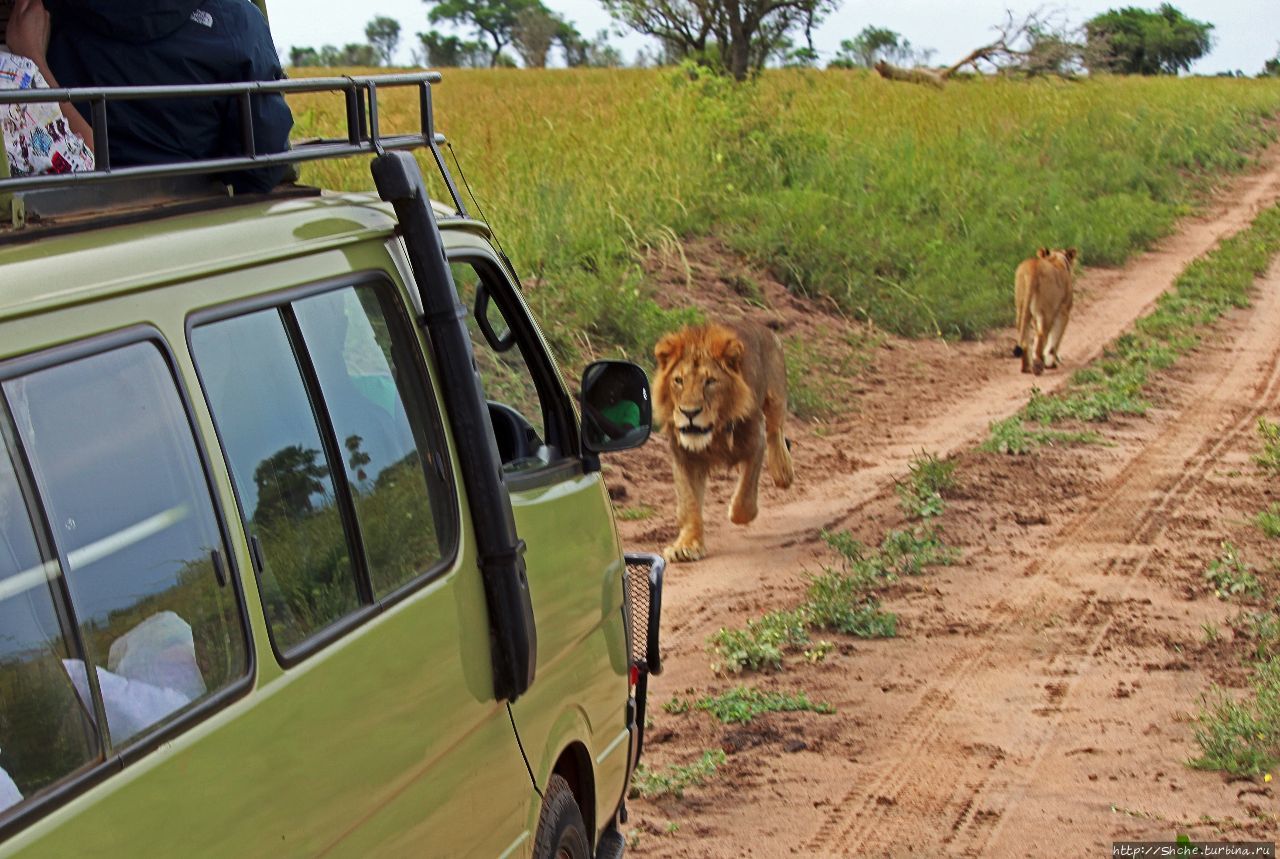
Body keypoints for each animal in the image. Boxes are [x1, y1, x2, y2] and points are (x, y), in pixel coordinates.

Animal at [655, 322, 793, 563]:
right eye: (678, 381)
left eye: (710, 381)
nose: (689, 413)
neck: (715, 431)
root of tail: (760, 326)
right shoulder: (683, 455)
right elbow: (689, 504)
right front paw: (687, 545)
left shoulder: (756, 442)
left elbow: (745, 498)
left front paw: (737, 513)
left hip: (776, 395)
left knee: (776, 429)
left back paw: (783, 472)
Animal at [1013, 245, 1075, 373]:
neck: (1056, 259)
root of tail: (1033, 267)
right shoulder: (1064, 311)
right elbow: (1055, 338)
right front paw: (1051, 363)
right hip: (1047, 312)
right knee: (1041, 336)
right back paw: (1038, 366)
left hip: (1021, 307)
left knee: (1025, 337)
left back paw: (1026, 368)